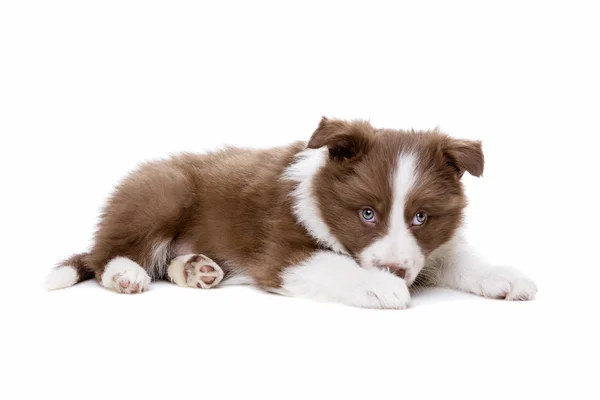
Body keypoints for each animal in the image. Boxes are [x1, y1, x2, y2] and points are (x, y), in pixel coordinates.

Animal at [44, 117, 536, 308]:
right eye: (367, 214)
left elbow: (458, 257)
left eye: (421, 217)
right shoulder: (279, 250)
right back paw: (126, 274)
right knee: (105, 253)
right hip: (164, 189)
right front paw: (382, 286)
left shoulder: (430, 248)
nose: (396, 271)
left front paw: (504, 276)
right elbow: (331, 264)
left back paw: (196, 268)